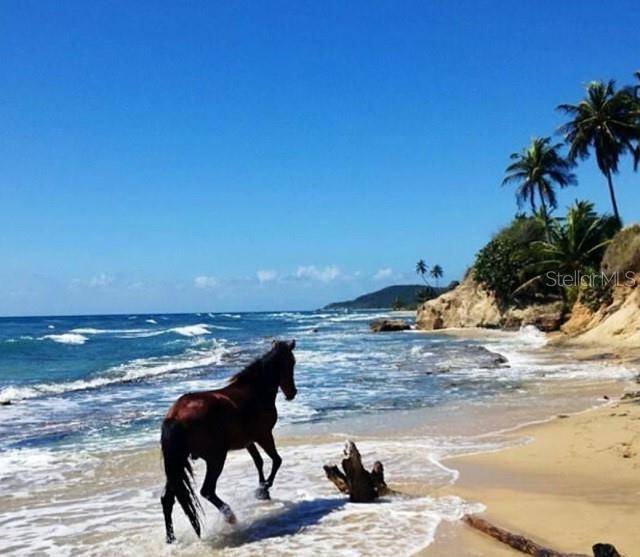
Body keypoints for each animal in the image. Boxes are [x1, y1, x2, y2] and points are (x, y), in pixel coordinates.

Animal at [161, 338, 298, 544]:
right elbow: (276, 460)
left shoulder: (249, 441)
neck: (255, 391)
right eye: (291, 362)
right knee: (207, 491)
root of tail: (175, 415)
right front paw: (263, 489)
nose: (292, 393)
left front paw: (263, 490)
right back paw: (230, 516)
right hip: (215, 458)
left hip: (178, 464)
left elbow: (259, 462)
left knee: (168, 499)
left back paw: (171, 539)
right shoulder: (264, 435)